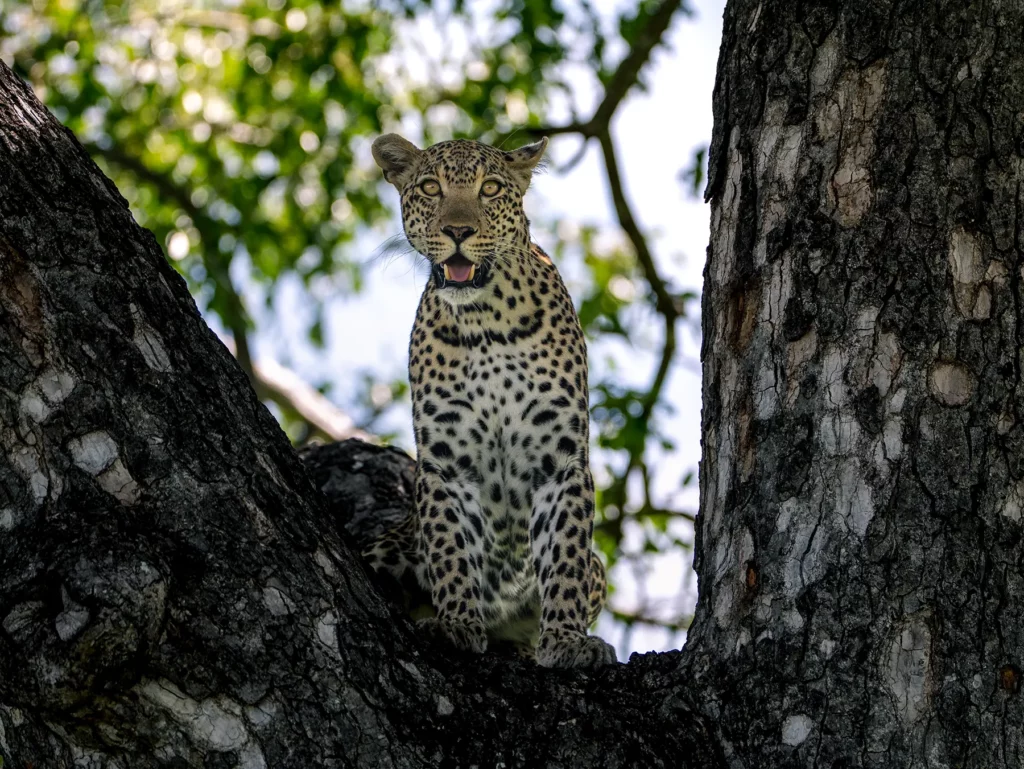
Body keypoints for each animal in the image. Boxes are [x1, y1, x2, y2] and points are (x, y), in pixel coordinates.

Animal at [365, 133, 616, 669]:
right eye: (431, 188)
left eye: (491, 189)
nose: (458, 230)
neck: (487, 322)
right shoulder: (445, 464)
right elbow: (450, 547)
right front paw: (456, 623)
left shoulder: (561, 460)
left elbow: (565, 555)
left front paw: (567, 640)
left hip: (599, 571)